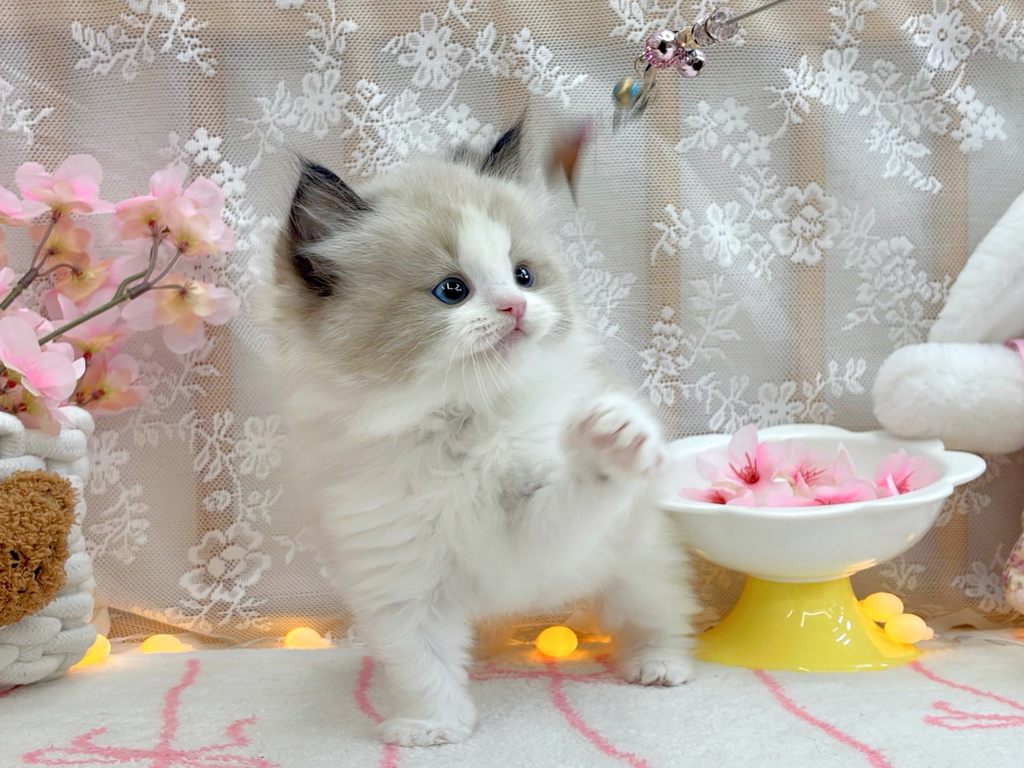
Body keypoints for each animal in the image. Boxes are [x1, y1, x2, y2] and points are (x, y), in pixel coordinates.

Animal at [260, 123, 698, 746]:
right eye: (453, 290)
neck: (459, 426)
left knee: (654, 614)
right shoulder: (398, 575)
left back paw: (657, 664)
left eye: (523, 275)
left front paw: (607, 442)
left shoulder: (537, 543)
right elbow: (421, 662)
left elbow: (575, 497)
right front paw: (434, 727)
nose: (516, 306)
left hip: (638, 560)